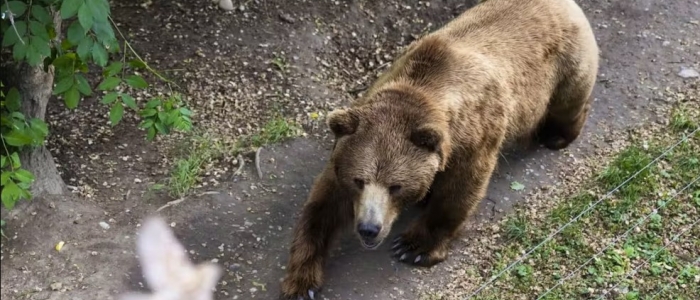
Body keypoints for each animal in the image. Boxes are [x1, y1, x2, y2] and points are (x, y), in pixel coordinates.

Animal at [278, 0, 596, 298]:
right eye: (358, 180)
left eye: (396, 186)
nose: (369, 229)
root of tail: (566, 6)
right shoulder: (350, 147)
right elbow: (323, 204)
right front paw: (302, 282)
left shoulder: (474, 134)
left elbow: (461, 189)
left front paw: (413, 247)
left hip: (564, 63)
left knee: (569, 100)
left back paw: (556, 136)